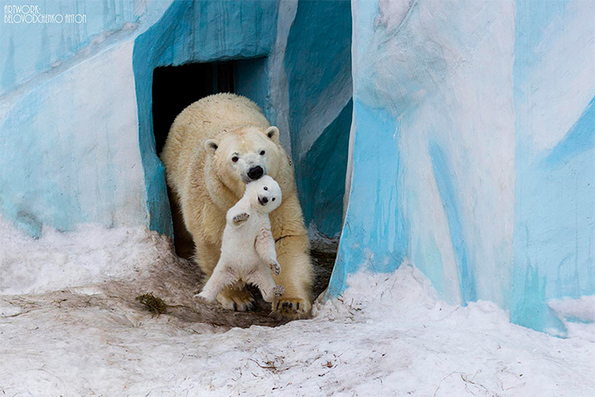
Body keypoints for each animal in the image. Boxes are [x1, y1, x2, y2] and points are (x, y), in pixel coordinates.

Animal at [161, 91, 314, 318]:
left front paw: (290, 302)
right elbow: (215, 241)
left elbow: (283, 236)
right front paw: (238, 298)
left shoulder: (283, 195)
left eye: (262, 151)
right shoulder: (215, 201)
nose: (255, 170)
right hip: (174, 171)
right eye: (234, 158)